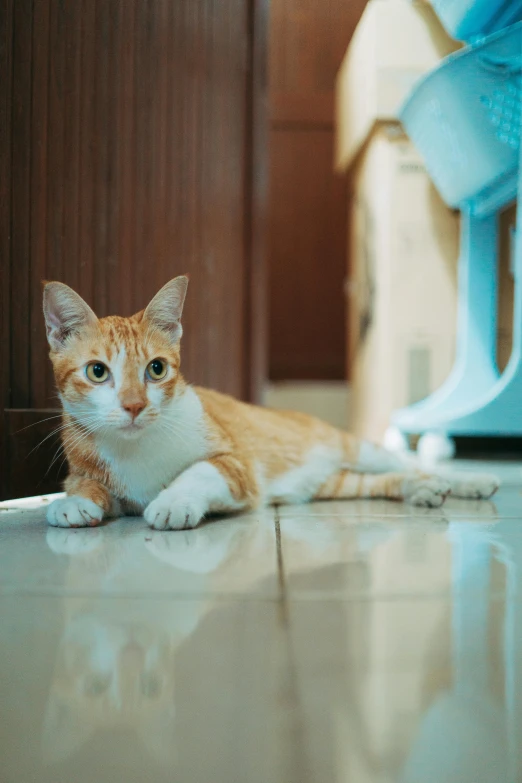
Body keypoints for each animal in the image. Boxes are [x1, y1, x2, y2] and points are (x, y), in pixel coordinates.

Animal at [43, 278, 496, 528]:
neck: (134, 448)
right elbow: (84, 485)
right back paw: (422, 490)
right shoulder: (88, 469)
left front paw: (172, 501)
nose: (134, 406)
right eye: (97, 372)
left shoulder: (236, 464)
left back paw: (466, 482)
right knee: (381, 481)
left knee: (408, 462)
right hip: (332, 485)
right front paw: (74, 503)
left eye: (156, 369)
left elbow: (199, 471)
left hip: (356, 448)